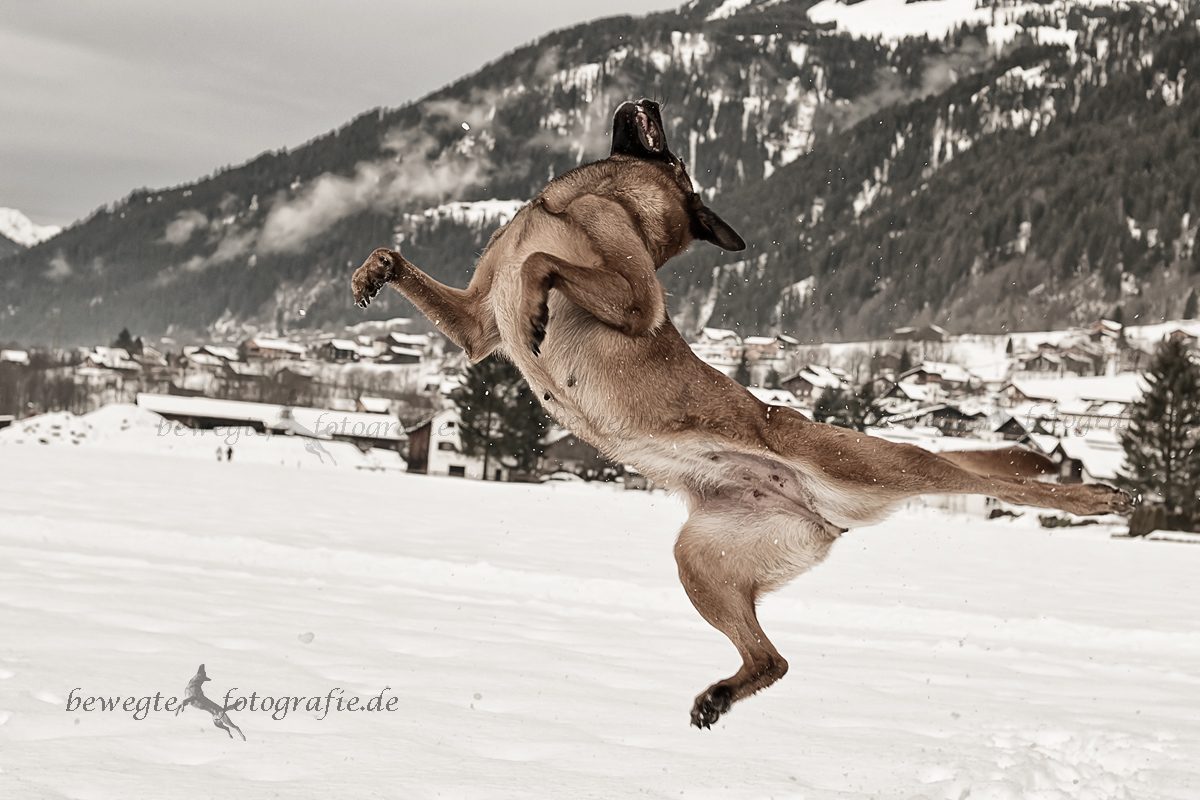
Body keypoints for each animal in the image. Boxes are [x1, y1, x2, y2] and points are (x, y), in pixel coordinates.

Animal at [350, 97, 1132, 729]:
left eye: (674, 154)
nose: (649, 99)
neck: (571, 201)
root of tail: (815, 511)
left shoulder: (636, 300)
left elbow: (546, 263)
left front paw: (540, 307)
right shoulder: (477, 329)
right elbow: (424, 272)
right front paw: (372, 270)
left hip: (868, 462)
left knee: (971, 472)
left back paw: (1094, 495)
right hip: (702, 562)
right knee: (774, 659)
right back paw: (720, 697)